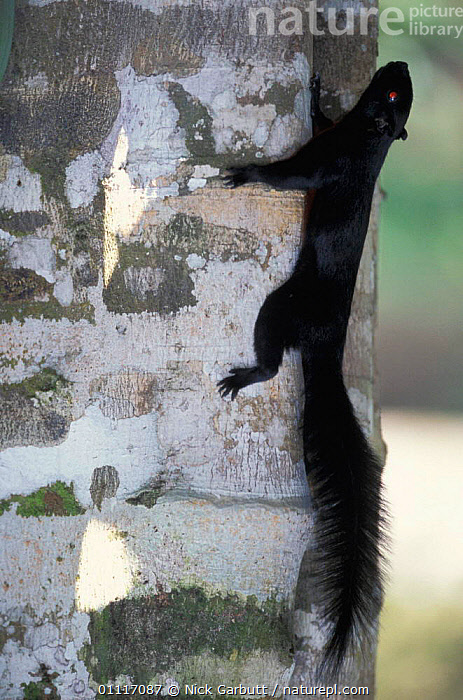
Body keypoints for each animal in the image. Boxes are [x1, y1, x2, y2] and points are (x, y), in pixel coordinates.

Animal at [218, 62, 413, 678]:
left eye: (394, 94)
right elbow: (320, 118)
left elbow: (291, 178)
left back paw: (245, 377)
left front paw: (248, 173)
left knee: (271, 359)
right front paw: (316, 94)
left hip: (280, 308)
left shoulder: (328, 162)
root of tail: (328, 347)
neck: (366, 140)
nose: (399, 66)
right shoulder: (333, 137)